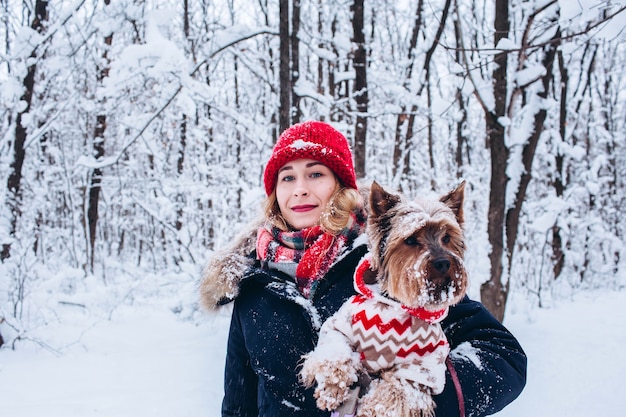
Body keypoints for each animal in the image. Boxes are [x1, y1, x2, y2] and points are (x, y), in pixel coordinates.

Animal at [300, 180, 466, 416]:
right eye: (411, 240)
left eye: (447, 238)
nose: (442, 262)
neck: (394, 305)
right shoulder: (340, 327)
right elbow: (335, 354)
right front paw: (332, 389)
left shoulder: (422, 364)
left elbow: (395, 392)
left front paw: (370, 408)